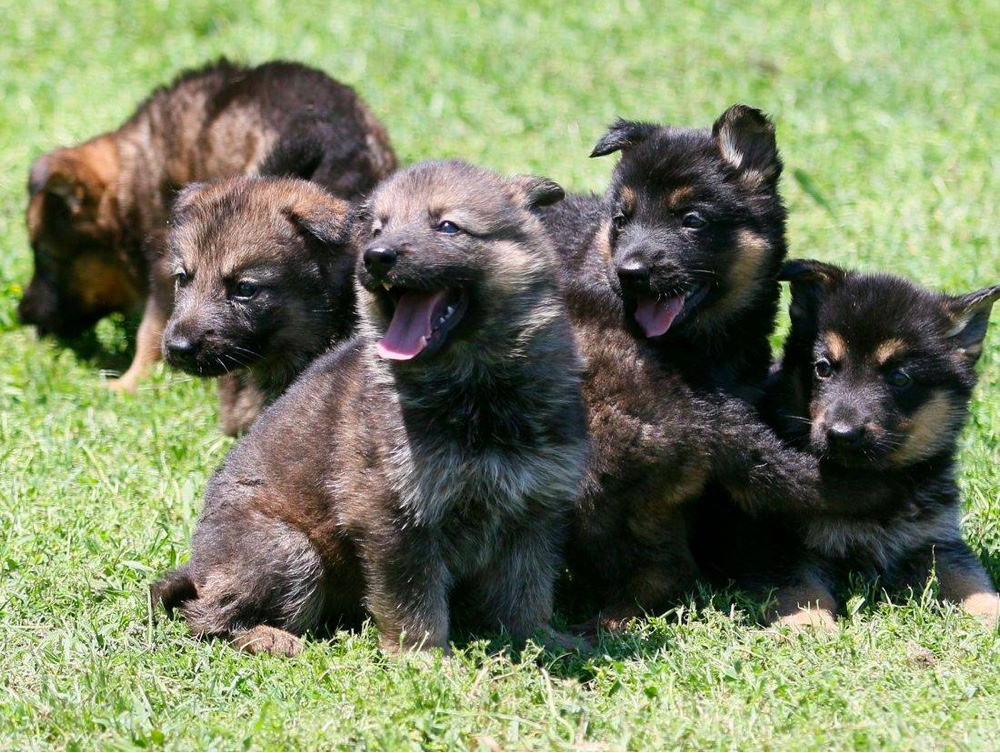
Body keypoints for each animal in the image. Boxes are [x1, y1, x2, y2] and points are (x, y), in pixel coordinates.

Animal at [19, 59, 394, 390]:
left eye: (46, 257)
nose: (22, 315)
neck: (130, 184)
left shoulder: (163, 263)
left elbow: (150, 332)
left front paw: (127, 384)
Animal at [752, 262, 1000, 624]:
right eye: (823, 368)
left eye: (900, 378)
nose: (841, 433)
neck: (861, 481)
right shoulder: (772, 541)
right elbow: (800, 590)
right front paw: (811, 626)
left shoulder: (934, 540)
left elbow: (970, 579)